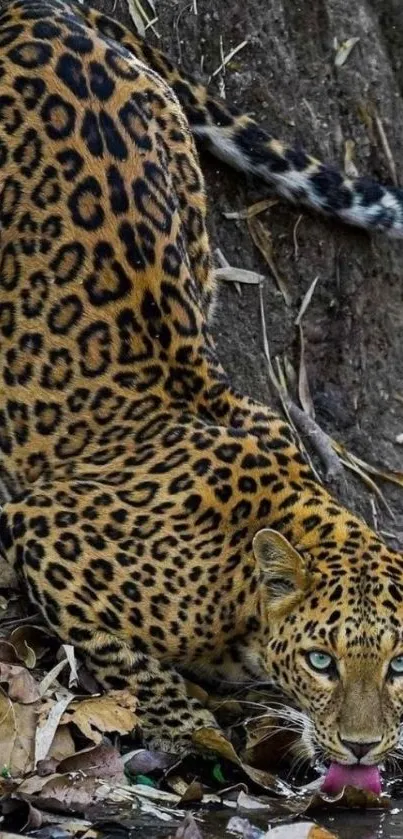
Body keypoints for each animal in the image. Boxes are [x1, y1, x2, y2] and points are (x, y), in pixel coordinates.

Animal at [0, 0, 403, 796]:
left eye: (399, 666)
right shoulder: (47, 529)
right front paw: (189, 726)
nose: (364, 747)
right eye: (322, 661)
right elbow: (126, 657)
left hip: (184, 179)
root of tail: (39, 12)